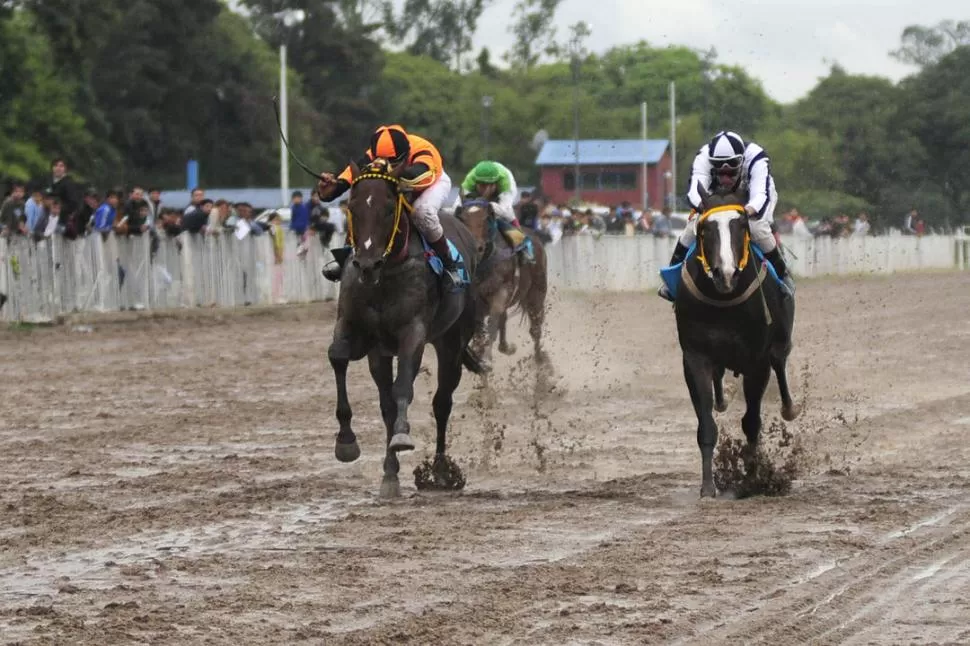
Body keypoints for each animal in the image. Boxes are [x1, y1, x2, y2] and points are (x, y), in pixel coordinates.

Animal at [328, 159, 484, 498]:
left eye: (389, 209)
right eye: (352, 208)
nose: (367, 265)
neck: (386, 274)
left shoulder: (413, 333)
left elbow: (404, 389)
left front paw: (402, 436)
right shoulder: (355, 327)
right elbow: (338, 358)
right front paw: (347, 442)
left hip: (452, 341)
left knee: (442, 402)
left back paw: (440, 471)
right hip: (381, 353)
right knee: (388, 402)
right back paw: (391, 472)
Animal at [454, 197, 544, 372]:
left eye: (485, 219)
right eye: (462, 220)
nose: (476, 247)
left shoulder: (501, 291)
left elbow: (492, 324)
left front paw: (486, 359)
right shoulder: (476, 301)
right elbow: (480, 332)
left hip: (536, 293)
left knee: (535, 329)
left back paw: (541, 367)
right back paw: (506, 347)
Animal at [676, 187, 796, 502]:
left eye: (741, 225)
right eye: (705, 229)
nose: (726, 273)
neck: (725, 301)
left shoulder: (757, 360)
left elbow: (752, 423)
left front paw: (753, 481)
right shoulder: (695, 357)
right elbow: (706, 425)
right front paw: (708, 487)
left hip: (780, 338)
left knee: (781, 361)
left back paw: (789, 408)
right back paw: (721, 400)